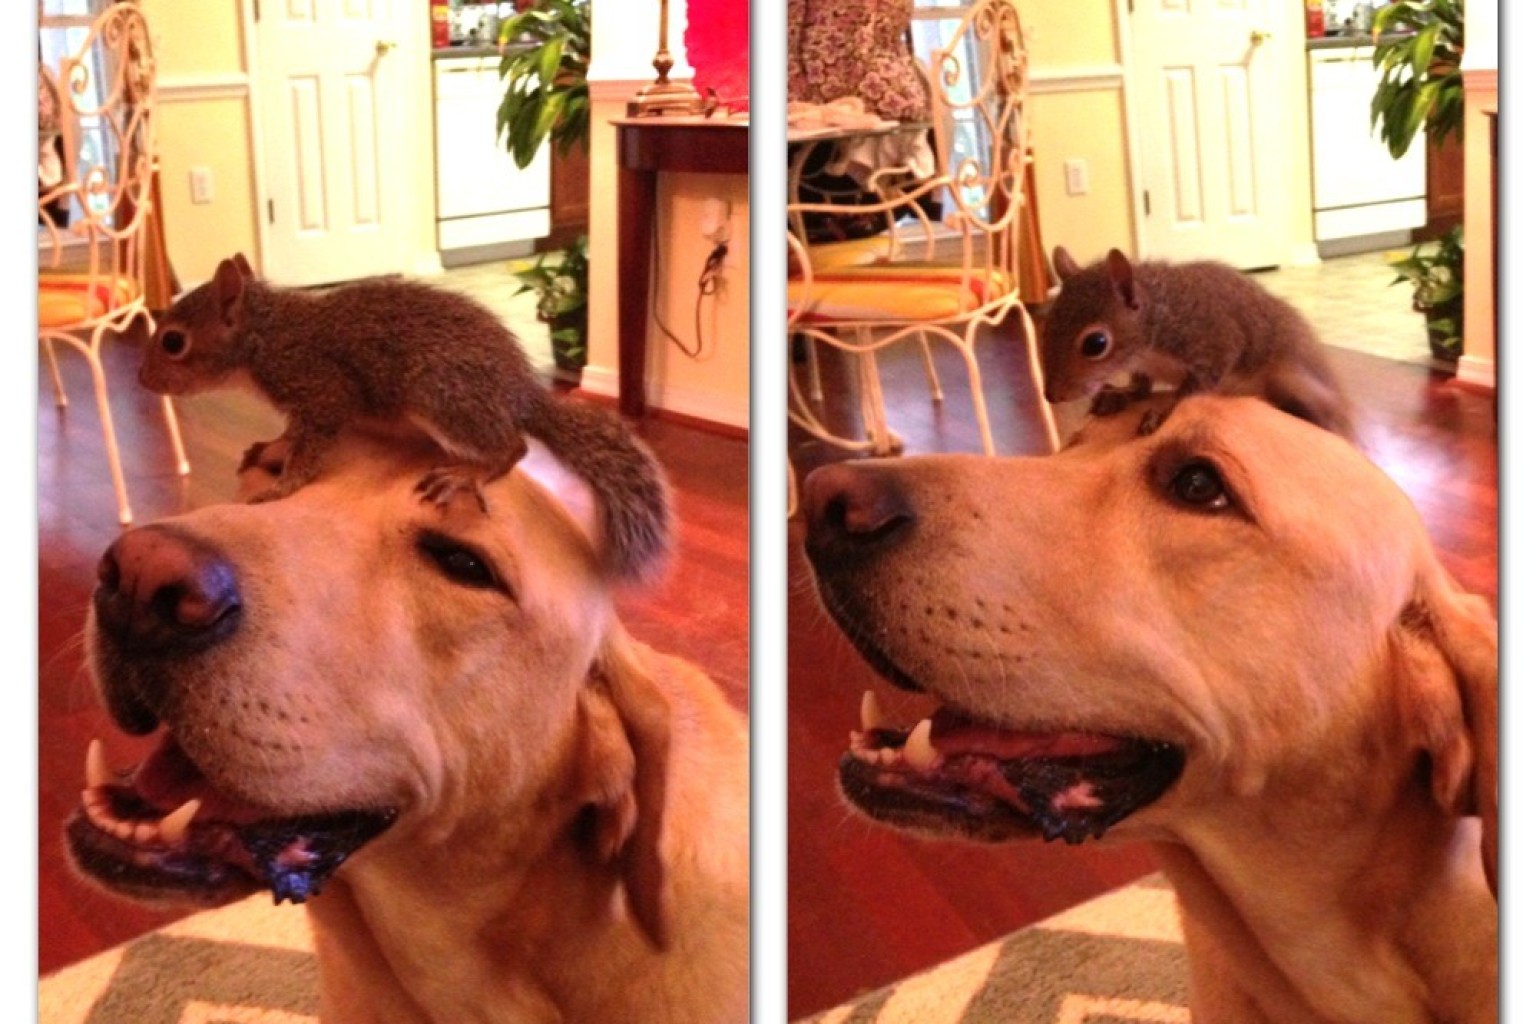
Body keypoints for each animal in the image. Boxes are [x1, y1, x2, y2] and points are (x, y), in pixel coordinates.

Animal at [141, 253, 671, 581]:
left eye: (174, 341)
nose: (143, 378)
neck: (264, 338)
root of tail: (520, 394)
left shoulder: (321, 389)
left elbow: (311, 448)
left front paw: (282, 486)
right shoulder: (302, 405)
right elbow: (291, 434)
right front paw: (272, 447)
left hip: (441, 395)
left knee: (512, 445)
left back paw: (468, 473)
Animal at [1041, 246, 1355, 439]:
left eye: (1096, 343)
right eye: (1047, 322)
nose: (1051, 396)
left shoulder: (1213, 340)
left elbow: (1193, 388)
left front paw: (1163, 410)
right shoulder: (1145, 367)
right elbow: (1141, 388)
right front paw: (1119, 394)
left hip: (1293, 378)